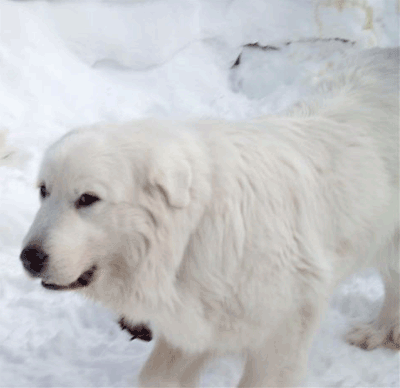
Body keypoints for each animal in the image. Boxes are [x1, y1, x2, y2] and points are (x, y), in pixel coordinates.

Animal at [21, 48, 396, 388]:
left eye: (87, 199)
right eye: (44, 191)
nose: (29, 257)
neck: (194, 233)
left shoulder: (284, 331)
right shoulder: (196, 325)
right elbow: (157, 376)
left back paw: (382, 331)